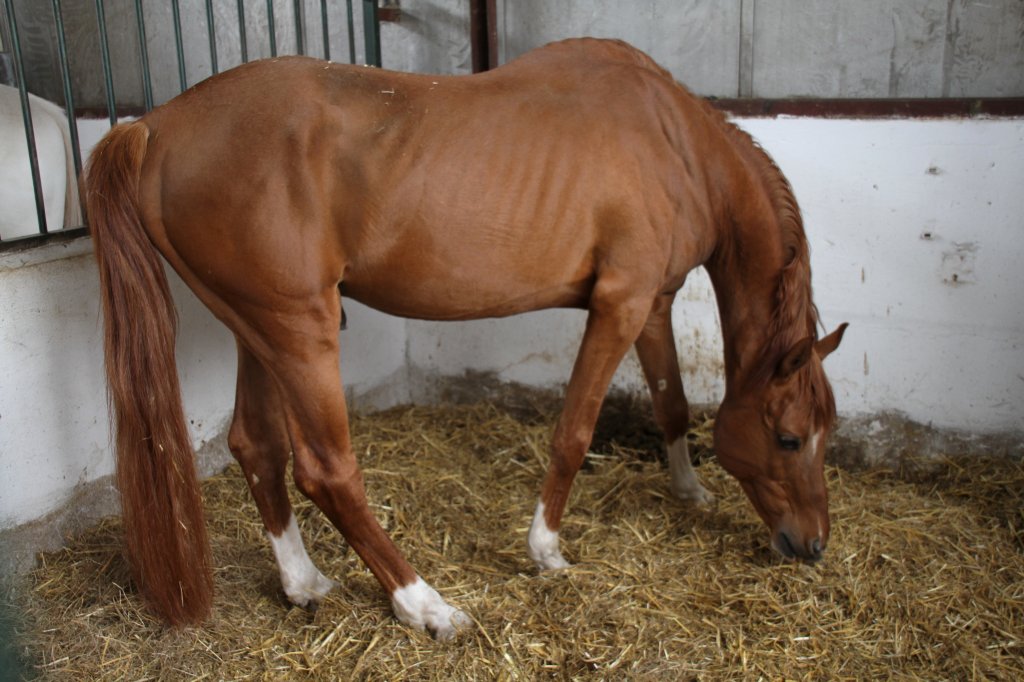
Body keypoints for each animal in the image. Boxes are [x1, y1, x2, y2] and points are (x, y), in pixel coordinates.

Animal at [83, 39, 843, 638]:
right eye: (788, 439)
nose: (811, 544)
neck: (672, 141)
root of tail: (156, 126)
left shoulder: (652, 303)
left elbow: (673, 404)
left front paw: (688, 489)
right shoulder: (619, 304)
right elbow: (574, 432)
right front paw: (546, 551)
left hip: (257, 331)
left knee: (256, 446)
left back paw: (305, 584)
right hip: (299, 332)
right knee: (327, 472)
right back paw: (424, 605)